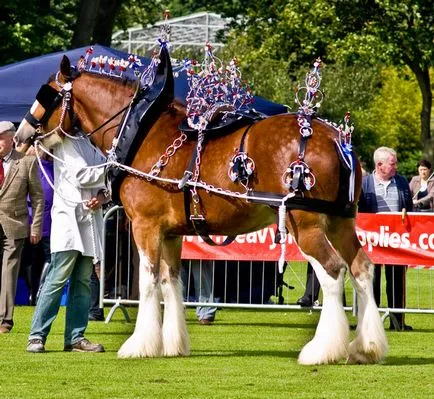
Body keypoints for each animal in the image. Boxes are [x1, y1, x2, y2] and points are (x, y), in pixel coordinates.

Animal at [14, 55, 386, 366]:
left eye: (47, 94)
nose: (20, 135)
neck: (143, 130)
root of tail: (337, 139)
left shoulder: (145, 226)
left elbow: (148, 281)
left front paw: (139, 345)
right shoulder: (171, 234)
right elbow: (170, 282)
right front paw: (172, 344)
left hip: (305, 224)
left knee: (333, 272)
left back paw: (322, 350)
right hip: (340, 221)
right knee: (361, 268)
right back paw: (366, 347)